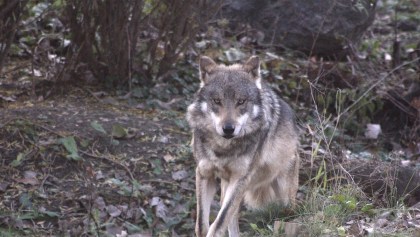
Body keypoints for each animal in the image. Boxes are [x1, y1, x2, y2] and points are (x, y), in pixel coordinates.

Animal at [186, 56, 298, 237]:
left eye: (241, 101)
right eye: (217, 101)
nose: (228, 128)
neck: (224, 148)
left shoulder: (240, 179)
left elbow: (218, 223)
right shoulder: (204, 174)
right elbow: (202, 224)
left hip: (284, 199)